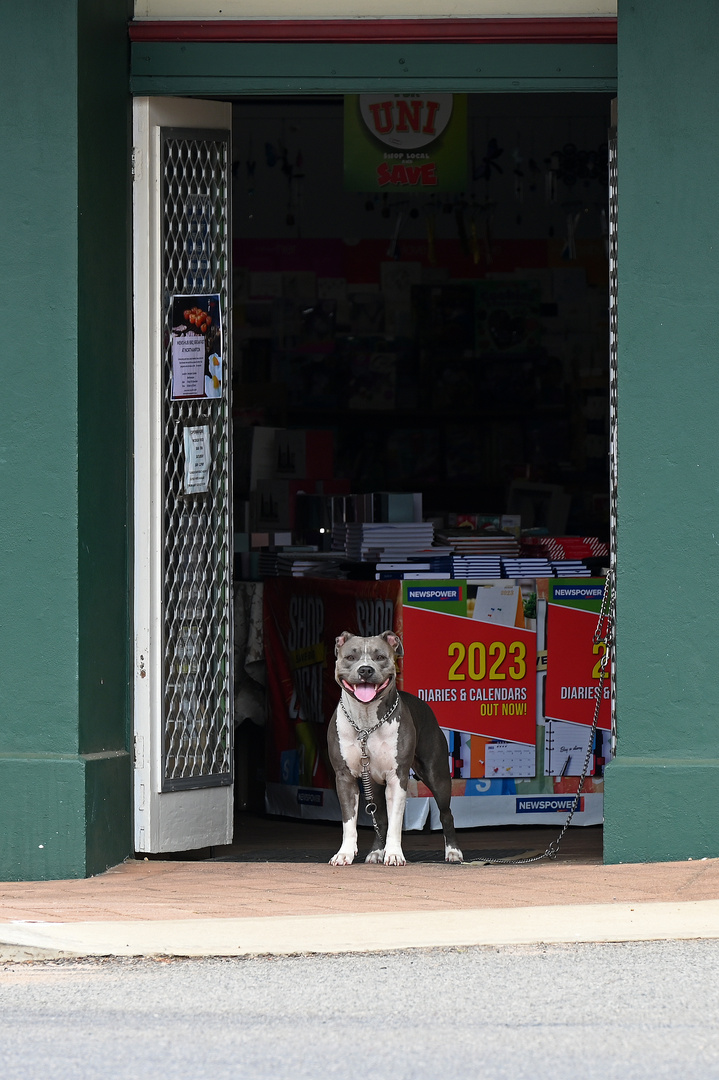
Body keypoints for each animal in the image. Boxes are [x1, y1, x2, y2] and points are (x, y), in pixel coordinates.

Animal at [326, 630, 462, 864]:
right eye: (350, 657)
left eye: (380, 657)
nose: (365, 669)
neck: (366, 723)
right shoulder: (345, 777)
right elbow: (349, 822)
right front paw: (345, 853)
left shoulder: (396, 777)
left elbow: (396, 822)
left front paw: (394, 854)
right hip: (373, 784)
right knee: (379, 818)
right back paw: (375, 852)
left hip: (437, 776)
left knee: (446, 814)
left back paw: (453, 851)